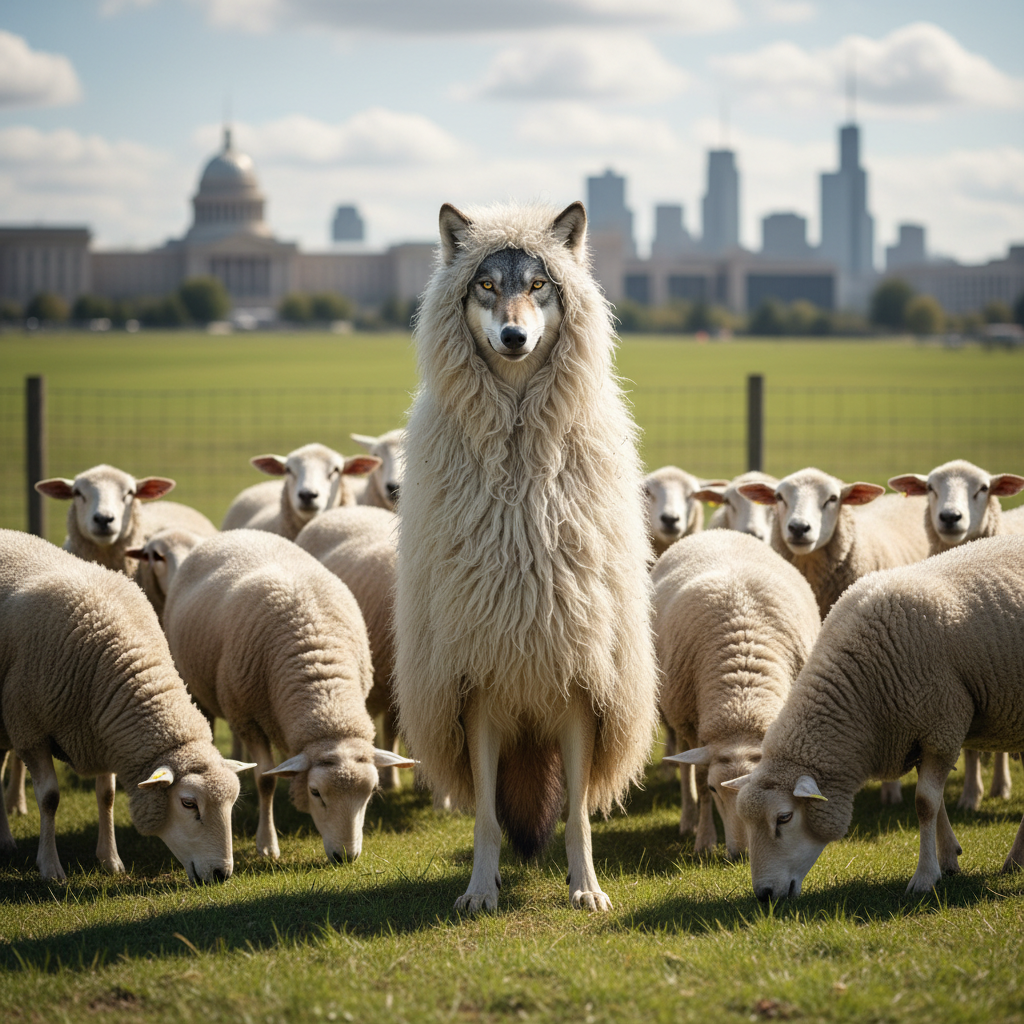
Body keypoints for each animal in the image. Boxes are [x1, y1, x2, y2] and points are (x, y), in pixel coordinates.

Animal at [0, 529, 253, 882]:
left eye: (232, 803)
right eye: (188, 804)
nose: (221, 874)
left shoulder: (102, 731)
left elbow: (106, 796)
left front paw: (110, 860)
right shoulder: (29, 729)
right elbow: (49, 798)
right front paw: (50, 868)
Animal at [394, 200, 660, 914]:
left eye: (539, 283)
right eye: (485, 284)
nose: (513, 336)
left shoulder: (580, 684)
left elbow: (578, 817)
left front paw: (586, 889)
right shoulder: (476, 684)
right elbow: (486, 816)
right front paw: (480, 891)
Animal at [655, 531, 821, 858]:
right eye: (715, 789)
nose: (741, 854)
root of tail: (717, 531)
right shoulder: (696, 729)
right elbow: (698, 779)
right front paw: (705, 840)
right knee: (684, 767)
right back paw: (688, 819)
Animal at [726, 535, 1024, 899]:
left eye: (783, 818)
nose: (764, 894)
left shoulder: (942, 726)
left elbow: (925, 803)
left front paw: (925, 877)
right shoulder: (921, 734)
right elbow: (937, 802)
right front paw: (948, 859)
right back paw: (1016, 860)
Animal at [889, 458, 1024, 810]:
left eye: (984, 488)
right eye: (930, 487)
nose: (950, 517)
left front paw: (985, 790)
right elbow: (972, 747)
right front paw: (970, 795)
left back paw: (1001, 784)